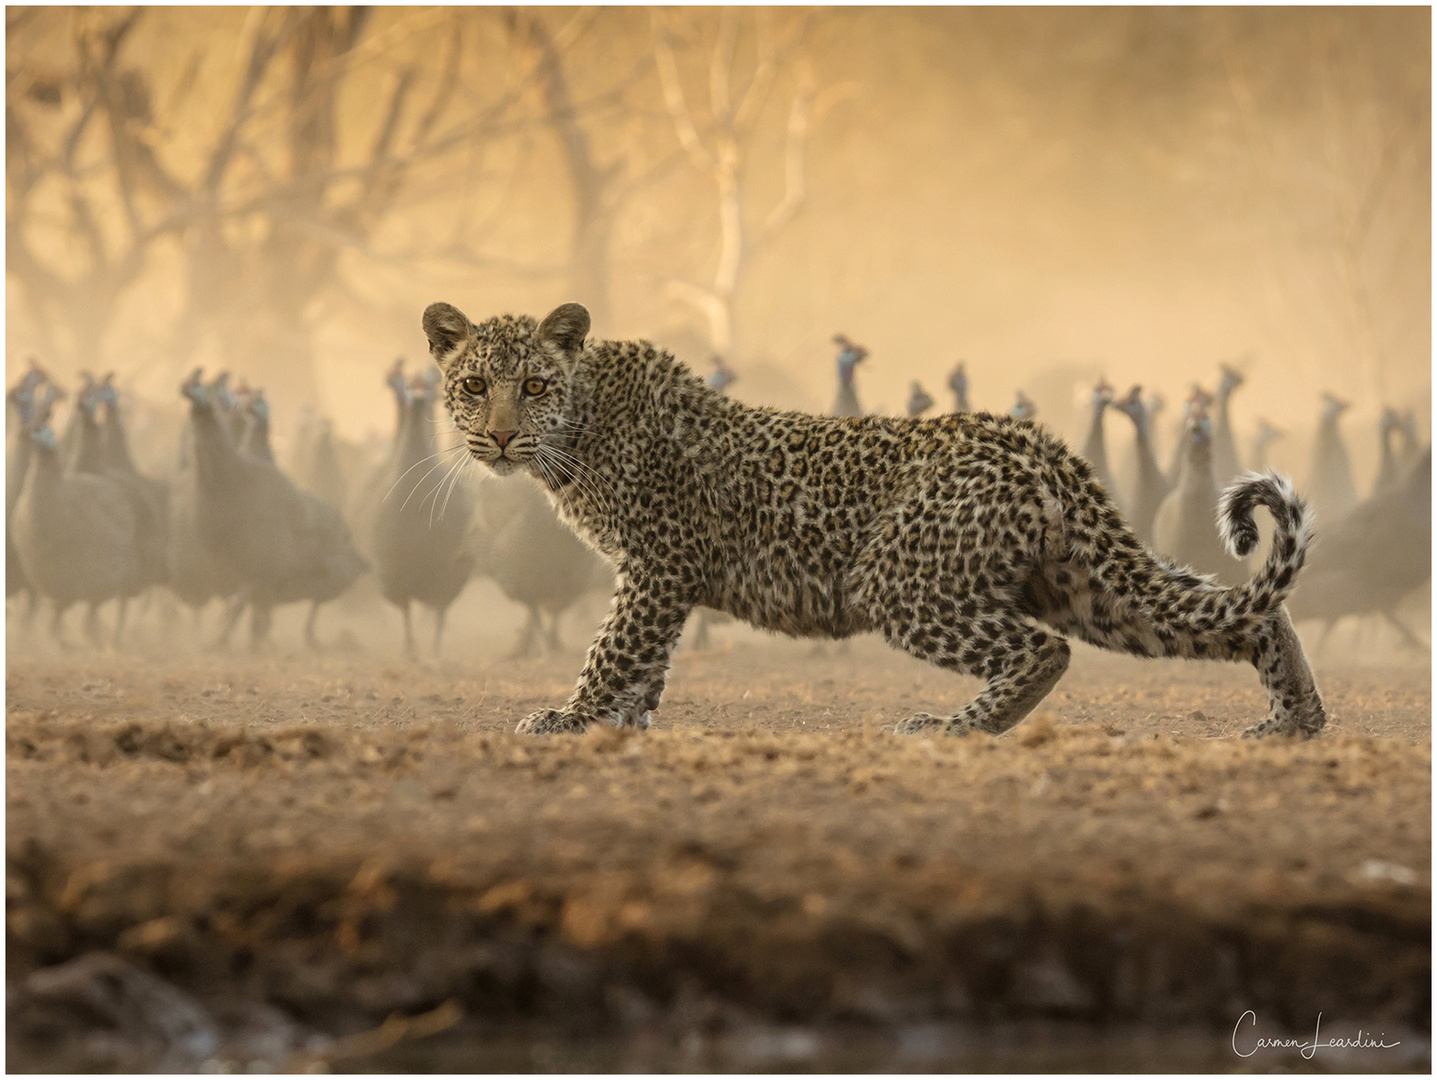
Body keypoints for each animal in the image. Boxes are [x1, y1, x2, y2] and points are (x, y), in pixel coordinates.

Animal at [419, 304, 1327, 741]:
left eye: (534, 385)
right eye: (474, 385)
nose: (497, 435)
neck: (578, 427)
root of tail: (1030, 438)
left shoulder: (655, 564)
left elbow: (613, 647)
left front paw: (568, 720)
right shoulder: (658, 576)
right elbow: (645, 658)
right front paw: (619, 721)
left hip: (901, 580)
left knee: (1042, 650)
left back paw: (948, 730)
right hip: (1080, 583)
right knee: (1244, 616)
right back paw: (1291, 724)